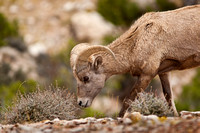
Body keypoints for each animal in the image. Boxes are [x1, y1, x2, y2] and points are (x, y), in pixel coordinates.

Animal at [70, 5, 200, 117]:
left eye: (86, 77)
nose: (81, 102)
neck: (136, 40)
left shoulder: (146, 75)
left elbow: (128, 100)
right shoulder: (164, 72)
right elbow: (168, 96)